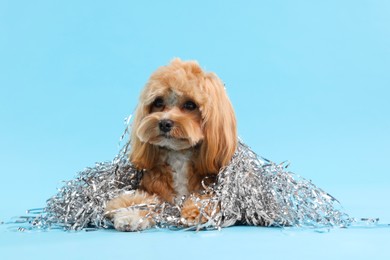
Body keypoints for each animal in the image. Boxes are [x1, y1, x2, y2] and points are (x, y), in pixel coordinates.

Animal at [105, 58, 236, 231]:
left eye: (190, 105)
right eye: (158, 102)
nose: (164, 123)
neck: (178, 156)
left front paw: (196, 212)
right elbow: (139, 199)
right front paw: (131, 215)